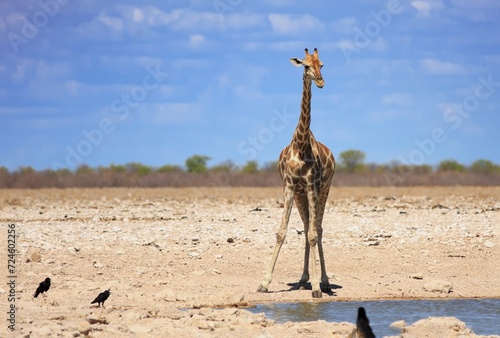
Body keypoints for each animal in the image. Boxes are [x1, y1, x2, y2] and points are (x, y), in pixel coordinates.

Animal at [258, 47, 336, 298]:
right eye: (306, 65)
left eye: (322, 64)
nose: (320, 81)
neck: (301, 144)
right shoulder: (290, 185)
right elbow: (282, 232)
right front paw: (264, 283)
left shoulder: (312, 185)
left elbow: (312, 234)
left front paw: (317, 288)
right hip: (302, 195)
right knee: (306, 226)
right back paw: (303, 279)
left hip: (324, 189)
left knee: (317, 229)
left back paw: (324, 282)